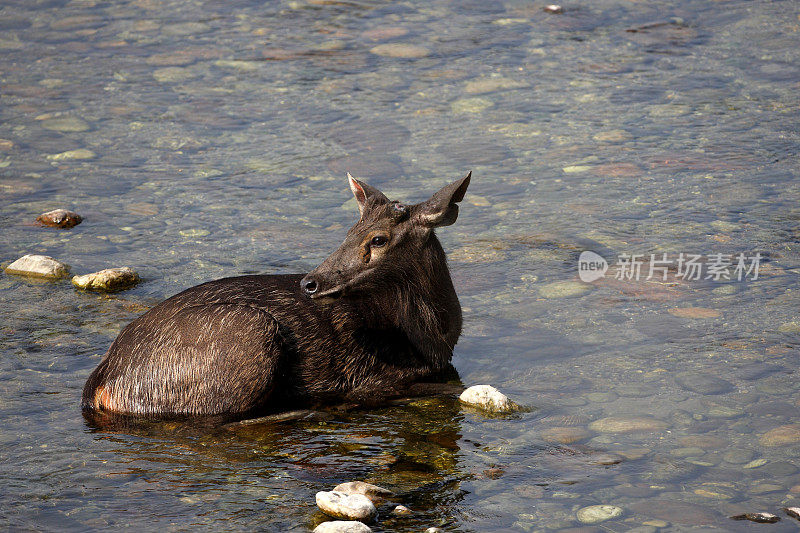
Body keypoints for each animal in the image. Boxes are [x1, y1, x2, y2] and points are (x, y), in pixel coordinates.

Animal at [83, 172, 468, 418]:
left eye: (378, 239)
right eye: (349, 231)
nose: (310, 283)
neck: (434, 338)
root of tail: (101, 384)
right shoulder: (373, 376)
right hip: (245, 335)